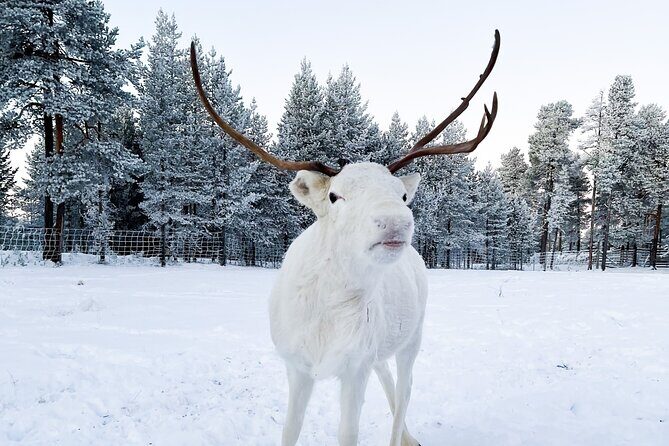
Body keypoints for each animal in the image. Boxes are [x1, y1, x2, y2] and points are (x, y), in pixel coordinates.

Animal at [190, 30, 500, 446]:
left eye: (401, 195)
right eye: (335, 195)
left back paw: (404, 436)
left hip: (413, 335)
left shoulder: (355, 366)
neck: (326, 316)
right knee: (390, 377)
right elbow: (289, 431)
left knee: (406, 388)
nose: (395, 221)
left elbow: (348, 433)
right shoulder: (297, 364)